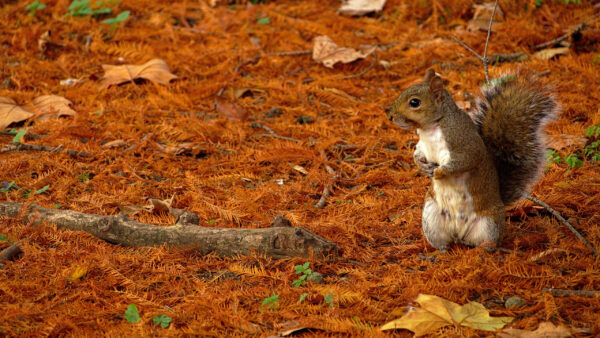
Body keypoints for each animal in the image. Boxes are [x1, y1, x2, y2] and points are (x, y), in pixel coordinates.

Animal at [384, 68, 556, 251]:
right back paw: (438, 253)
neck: (429, 128)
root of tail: (460, 235)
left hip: (489, 224)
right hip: (431, 216)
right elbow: (417, 154)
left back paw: (483, 251)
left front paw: (439, 173)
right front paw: (422, 167)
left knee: (487, 244)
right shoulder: (422, 146)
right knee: (442, 243)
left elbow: (465, 161)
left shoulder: (465, 143)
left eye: (414, 102)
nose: (389, 115)